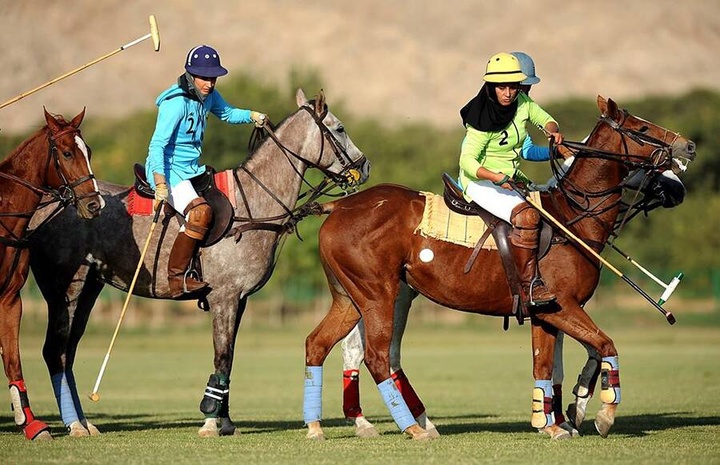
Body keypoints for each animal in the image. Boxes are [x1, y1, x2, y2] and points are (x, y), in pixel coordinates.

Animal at [0, 108, 104, 438]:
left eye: (89, 151)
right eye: (67, 152)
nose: (94, 204)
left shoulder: (10, 298)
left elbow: (13, 359)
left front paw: (31, 425)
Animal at [28, 89, 368, 436]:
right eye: (339, 128)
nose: (364, 166)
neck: (254, 204)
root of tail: (50, 201)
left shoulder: (239, 300)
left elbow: (229, 357)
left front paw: (226, 422)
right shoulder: (224, 298)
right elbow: (222, 356)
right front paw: (209, 421)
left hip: (90, 288)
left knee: (68, 352)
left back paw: (85, 423)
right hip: (65, 289)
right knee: (54, 351)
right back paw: (74, 425)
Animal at [304, 97, 696, 438]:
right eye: (642, 127)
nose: (689, 147)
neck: (572, 217)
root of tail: (338, 207)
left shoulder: (547, 313)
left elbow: (551, 363)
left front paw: (555, 421)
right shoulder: (562, 307)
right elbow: (606, 346)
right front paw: (599, 415)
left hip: (351, 297)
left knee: (319, 344)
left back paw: (317, 427)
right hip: (377, 295)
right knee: (376, 356)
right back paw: (412, 428)